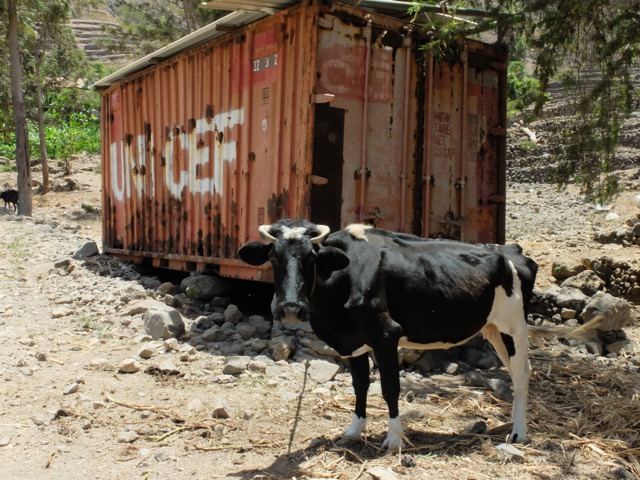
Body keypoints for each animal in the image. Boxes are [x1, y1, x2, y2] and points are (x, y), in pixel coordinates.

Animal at [238, 218, 536, 450]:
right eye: (273, 258)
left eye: (311, 258)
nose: (290, 308)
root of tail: (510, 249)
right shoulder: (352, 342)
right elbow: (359, 385)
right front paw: (353, 431)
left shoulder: (386, 336)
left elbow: (390, 388)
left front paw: (394, 439)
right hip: (494, 330)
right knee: (516, 372)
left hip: (514, 326)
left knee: (521, 374)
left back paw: (519, 433)